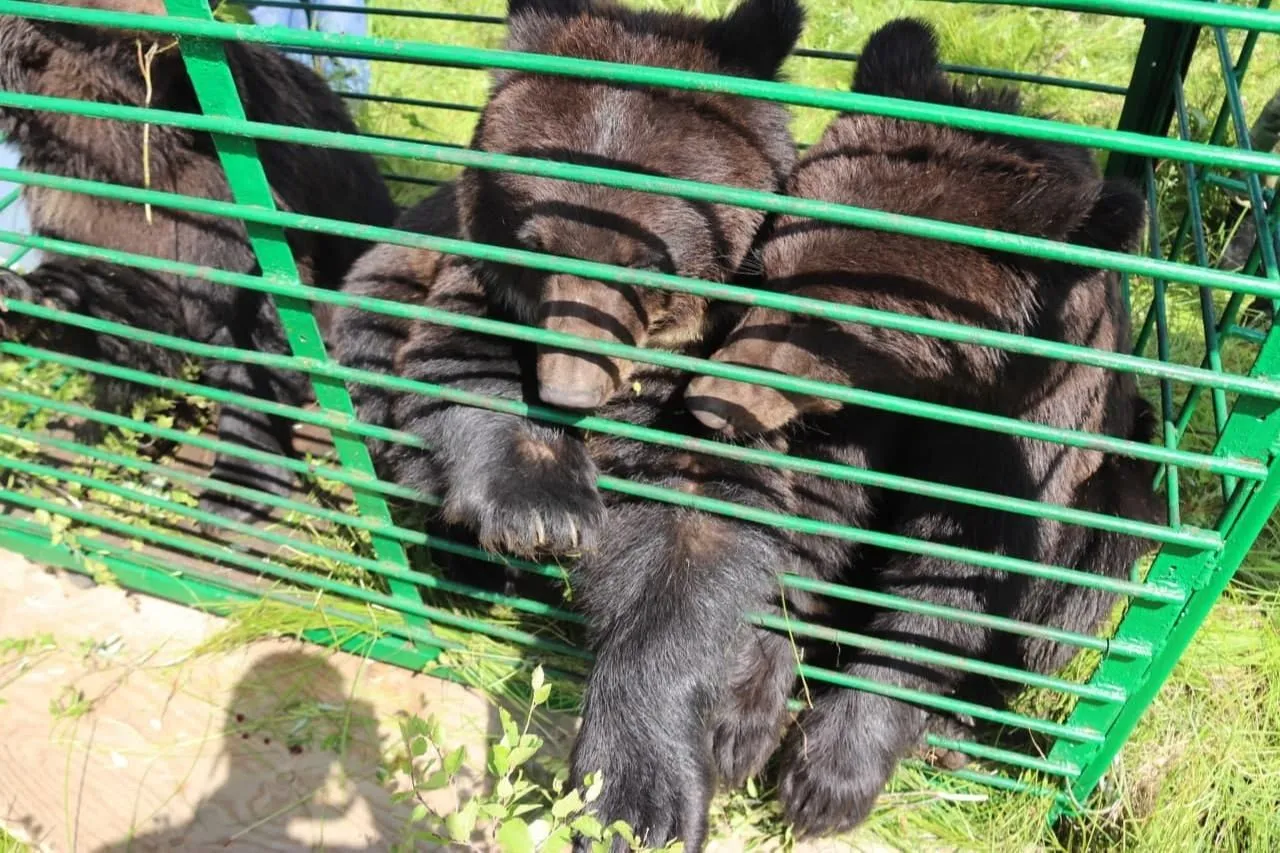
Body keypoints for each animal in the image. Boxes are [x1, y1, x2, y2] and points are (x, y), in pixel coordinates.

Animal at [335, 0, 803, 845]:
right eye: (536, 241)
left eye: (651, 258)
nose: (570, 389)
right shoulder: (466, 271)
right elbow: (454, 367)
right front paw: (543, 509)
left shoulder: (719, 378)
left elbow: (699, 534)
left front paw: (638, 796)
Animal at [686, 16, 1167, 835]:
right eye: (764, 272)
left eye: (836, 323)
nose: (714, 400)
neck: (940, 391)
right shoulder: (859, 424)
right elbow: (813, 515)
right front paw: (740, 712)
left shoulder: (1020, 440)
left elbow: (958, 575)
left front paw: (832, 776)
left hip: (1120, 482)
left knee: (1090, 571)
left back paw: (958, 725)